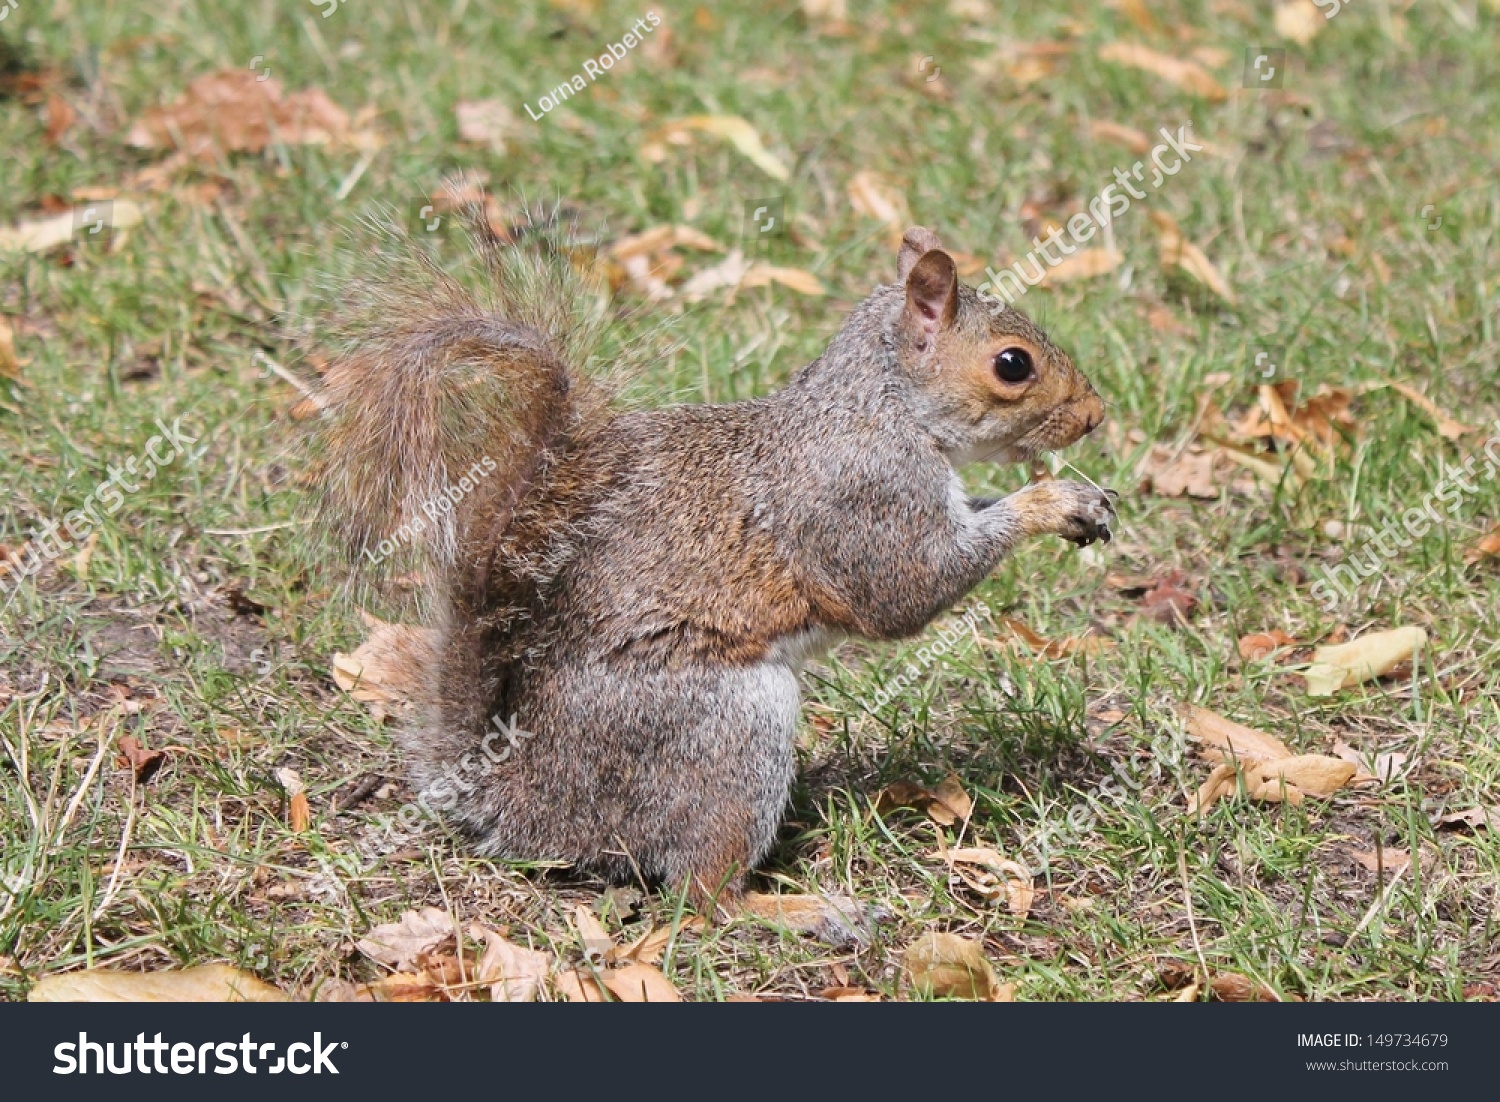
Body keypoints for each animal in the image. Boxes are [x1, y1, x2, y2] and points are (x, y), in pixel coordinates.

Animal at [313, 211, 1116, 911]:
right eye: (1012, 364)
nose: (1096, 415)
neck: (882, 406)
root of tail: (528, 803)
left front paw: (1079, 500)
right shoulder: (864, 497)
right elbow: (904, 592)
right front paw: (1049, 503)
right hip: (726, 729)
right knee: (701, 894)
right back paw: (798, 911)